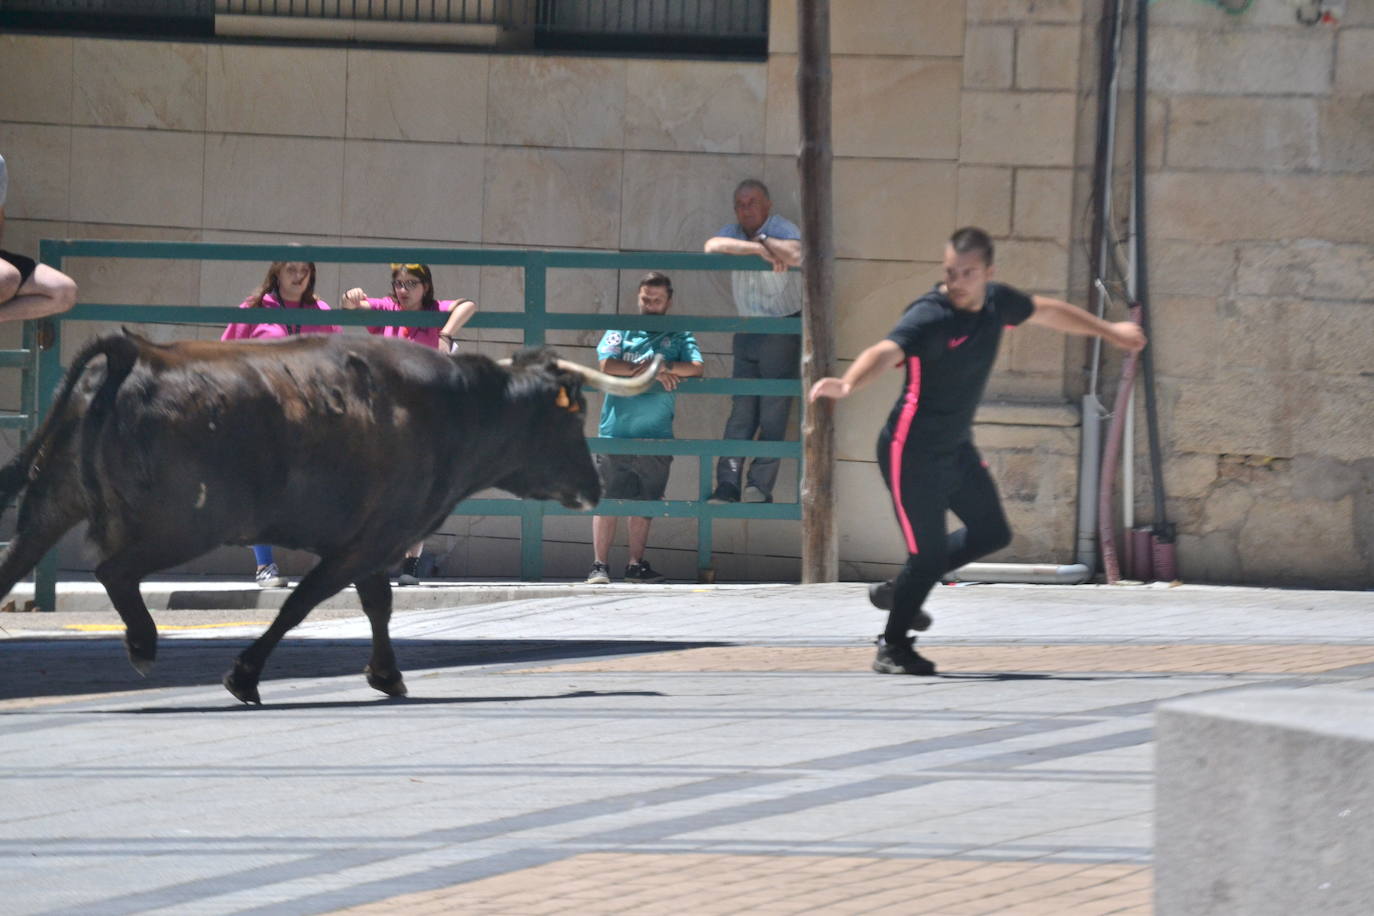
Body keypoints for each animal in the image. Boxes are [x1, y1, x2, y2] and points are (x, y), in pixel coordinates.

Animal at [0, 333, 659, 708]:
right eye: (570, 417)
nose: (596, 485)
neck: (453, 410)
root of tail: (138, 355)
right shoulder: (371, 540)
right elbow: (303, 604)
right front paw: (244, 675)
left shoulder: (375, 542)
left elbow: (375, 605)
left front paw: (386, 675)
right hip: (180, 525)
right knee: (114, 571)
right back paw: (142, 644)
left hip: (50, 506)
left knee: (13, 567)